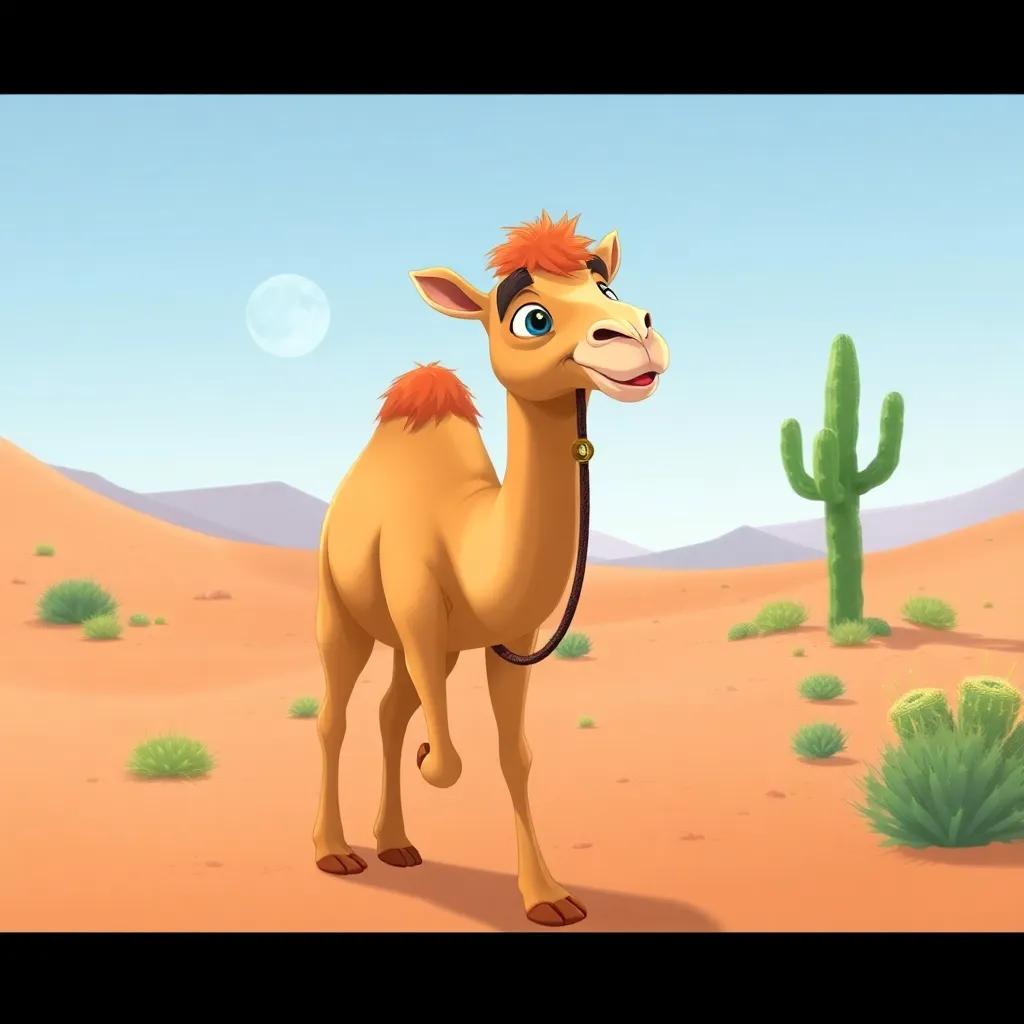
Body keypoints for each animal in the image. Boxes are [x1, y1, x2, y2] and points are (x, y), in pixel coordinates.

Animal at [313, 212, 670, 927]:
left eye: (607, 289)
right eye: (531, 318)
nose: (638, 333)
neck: (469, 537)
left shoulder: (513, 639)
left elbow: (516, 757)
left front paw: (548, 897)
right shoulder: (421, 615)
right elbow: (449, 760)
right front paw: (429, 756)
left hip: (432, 646)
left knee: (390, 712)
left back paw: (395, 844)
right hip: (343, 611)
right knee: (335, 719)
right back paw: (334, 851)